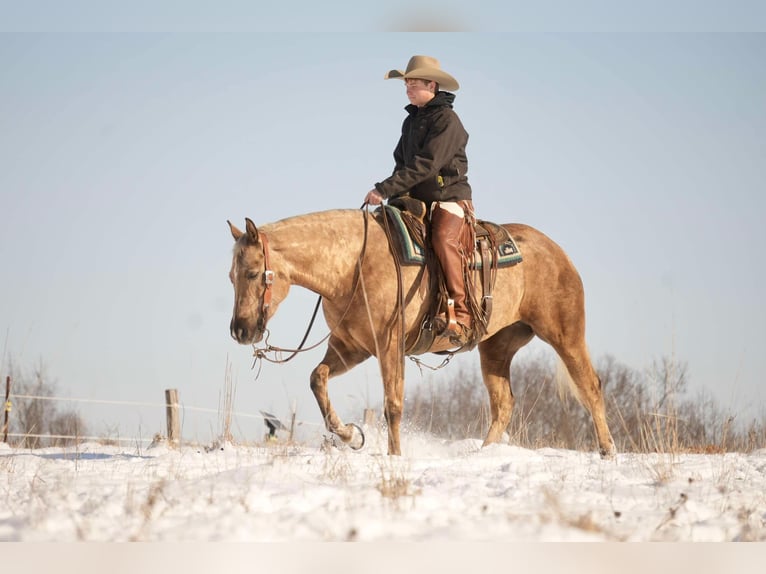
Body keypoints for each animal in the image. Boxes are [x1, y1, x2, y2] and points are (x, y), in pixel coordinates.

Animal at [228, 210, 616, 460]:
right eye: (231, 276)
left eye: (252, 273)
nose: (240, 331)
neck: (354, 265)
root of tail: (556, 251)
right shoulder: (351, 347)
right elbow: (317, 378)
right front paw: (350, 436)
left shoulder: (389, 345)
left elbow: (393, 405)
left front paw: (395, 456)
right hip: (496, 348)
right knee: (503, 403)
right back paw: (484, 455)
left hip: (565, 333)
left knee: (590, 386)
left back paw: (607, 450)